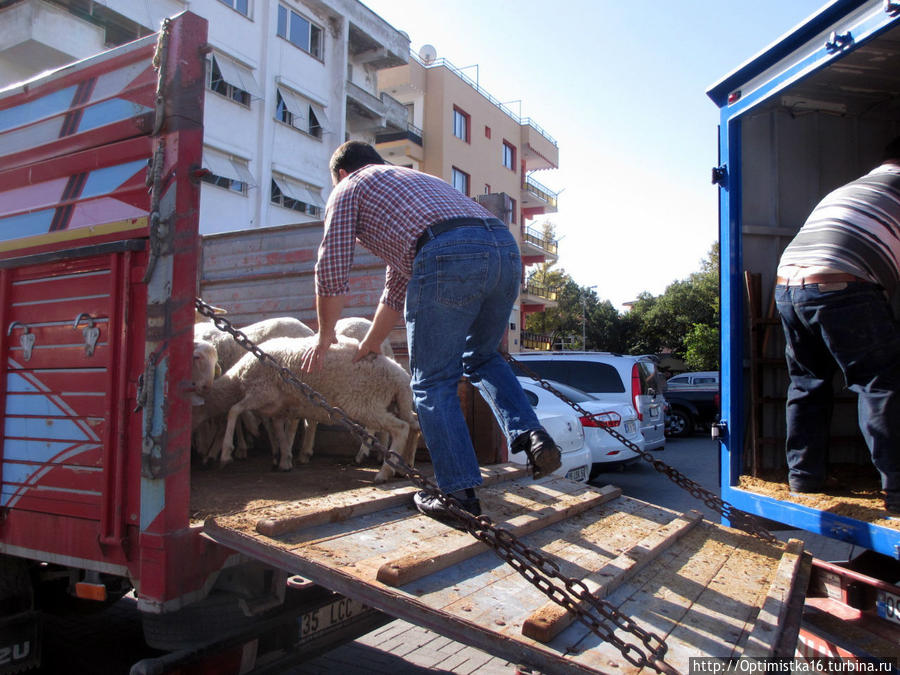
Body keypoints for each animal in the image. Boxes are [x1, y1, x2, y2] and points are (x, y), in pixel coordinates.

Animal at [193, 336, 418, 484]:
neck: (238, 380)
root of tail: (400, 376)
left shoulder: (261, 392)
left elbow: (234, 410)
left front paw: (226, 453)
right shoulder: (279, 408)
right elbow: (280, 432)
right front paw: (284, 460)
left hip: (365, 403)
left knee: (401, 428)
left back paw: (385, 472)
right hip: (393, 403)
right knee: (415, 424)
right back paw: (405, 466)